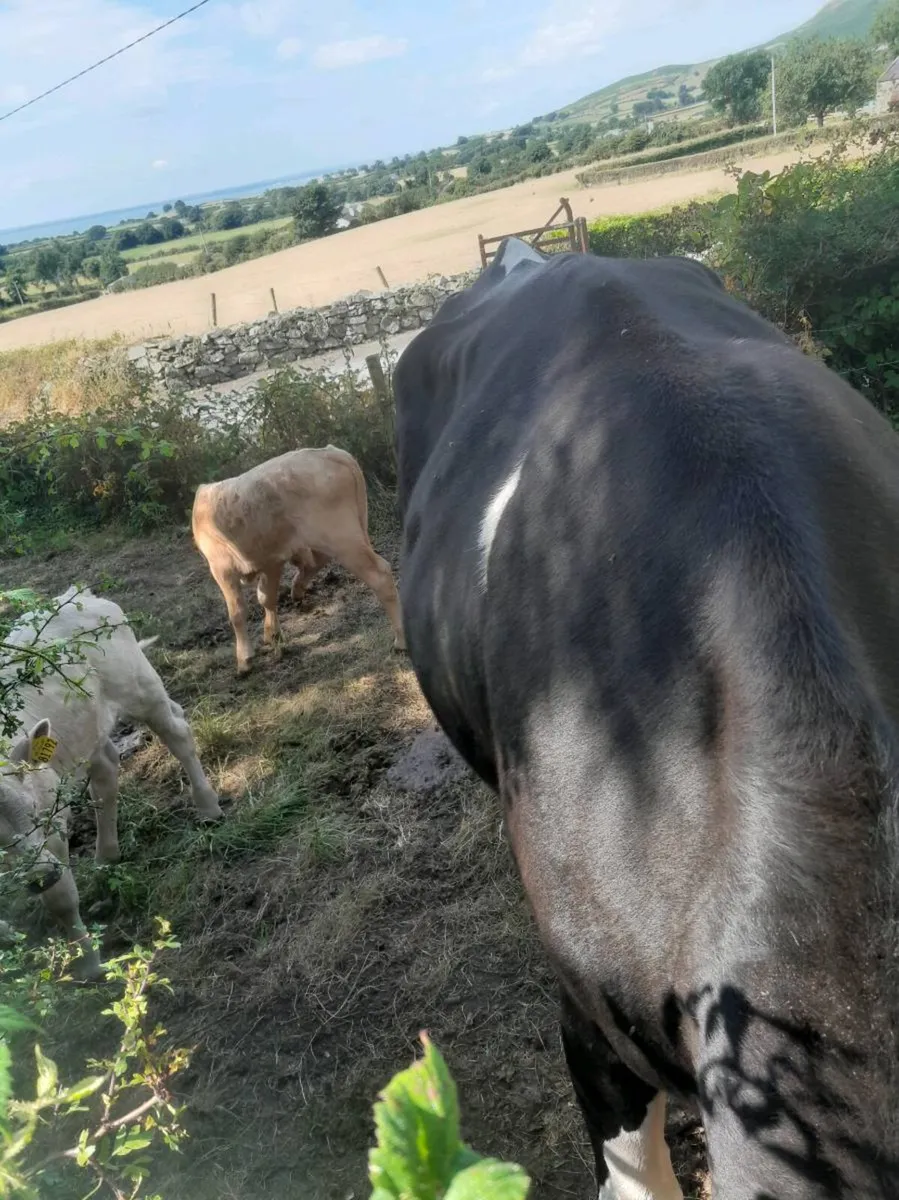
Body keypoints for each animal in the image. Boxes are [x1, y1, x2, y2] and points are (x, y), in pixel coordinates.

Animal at [0, 587, 223, 979]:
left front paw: (87, 965)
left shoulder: (52, 822)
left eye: (35, 812)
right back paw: (106, 856)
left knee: (177, 731)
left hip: (138, 683)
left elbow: (62, 899)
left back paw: (208, 807)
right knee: (106, 768)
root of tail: (81, 594)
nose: (40, 875)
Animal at [191, 445, 405, 675]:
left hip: (343, 539)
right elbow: (267, 597)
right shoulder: (272, 560)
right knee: (316, 563)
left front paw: (244, 660)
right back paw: (297, 589)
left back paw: (401, 640)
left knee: (379, 575)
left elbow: (237, 612)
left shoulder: (222, 567)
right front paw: (272, 634)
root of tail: (330, 452)